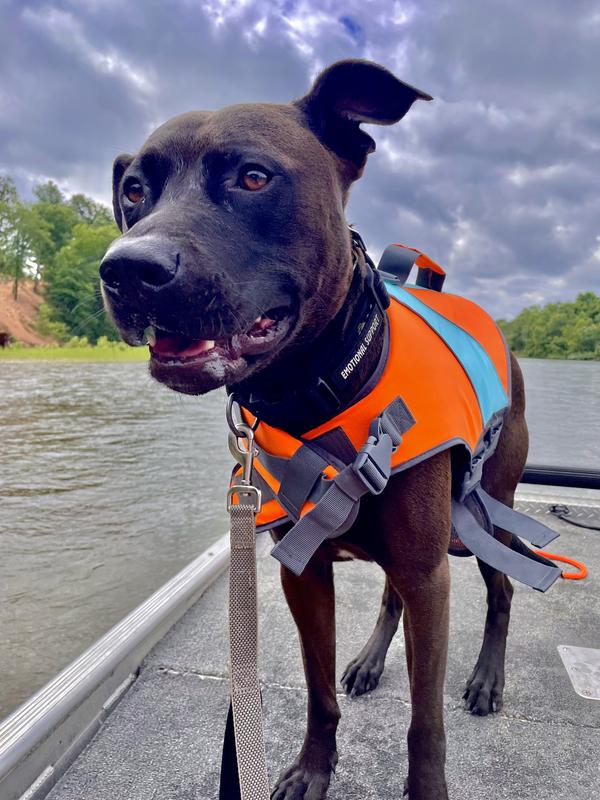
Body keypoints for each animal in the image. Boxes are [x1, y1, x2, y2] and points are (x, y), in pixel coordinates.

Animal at [101, 59, 528, 796]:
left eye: (252, 177)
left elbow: (425, 725)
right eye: (134, 191)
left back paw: (485, 679)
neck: (320, 390)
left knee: (499, 591)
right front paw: (312, 767)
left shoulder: (429, 574)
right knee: (390, 599)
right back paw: (371, 660)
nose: (127, 268)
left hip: (486, 509)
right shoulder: (305, 575)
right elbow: (318, 688)